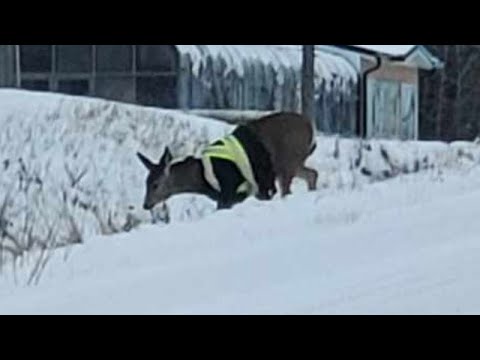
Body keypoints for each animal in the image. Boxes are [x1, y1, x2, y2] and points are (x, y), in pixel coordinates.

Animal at [138, 111, 318, 210]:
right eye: (146, 182)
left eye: (155, 184)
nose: (146, 205)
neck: (201, 177)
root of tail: (310, 127)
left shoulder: (230, 190)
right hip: (292, 163)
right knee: (312, 174)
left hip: (287, 160)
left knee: (288, 189)